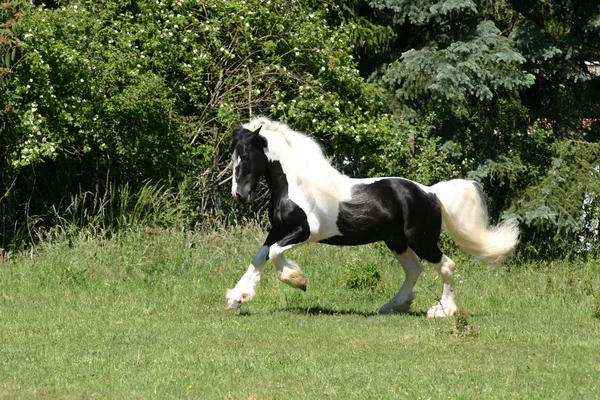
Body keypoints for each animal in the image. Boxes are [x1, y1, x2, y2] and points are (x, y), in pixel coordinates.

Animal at [227, 117, 516, 318]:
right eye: (233, 157)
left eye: (245, 156)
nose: (239, 195)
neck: (297, 185)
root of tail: (430, 192)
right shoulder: (278, 230)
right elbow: (260, 257)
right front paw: (237, 298)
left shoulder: (306, 231)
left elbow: (275, 253)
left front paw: (298, 281)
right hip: (396, 241)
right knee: (414, 269)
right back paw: (394, 306)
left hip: (421, 240)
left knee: (446, 265)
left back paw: (443, 311)